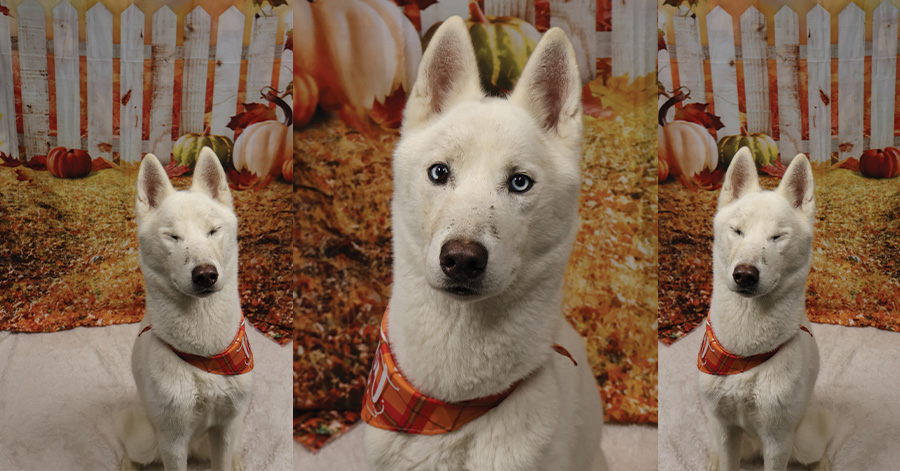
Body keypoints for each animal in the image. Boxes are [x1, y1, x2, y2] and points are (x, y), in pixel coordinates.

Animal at [118, 149, 253, 470]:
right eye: (173, 237)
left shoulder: (225, 428)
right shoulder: (172, 439)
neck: (206, 355)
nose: (205, 274)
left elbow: (223, 460)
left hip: (236, 426)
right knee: (130, 446)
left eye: (213, 230)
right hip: (147, 439)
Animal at [700, 148, 832, 471]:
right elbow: (727, 460)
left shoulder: (778, 439)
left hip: (803, 440)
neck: (744, 355)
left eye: (777, 237)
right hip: (714, 426)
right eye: (737, 231)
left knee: (822, 443)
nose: (745, 274)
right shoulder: (725, 428)